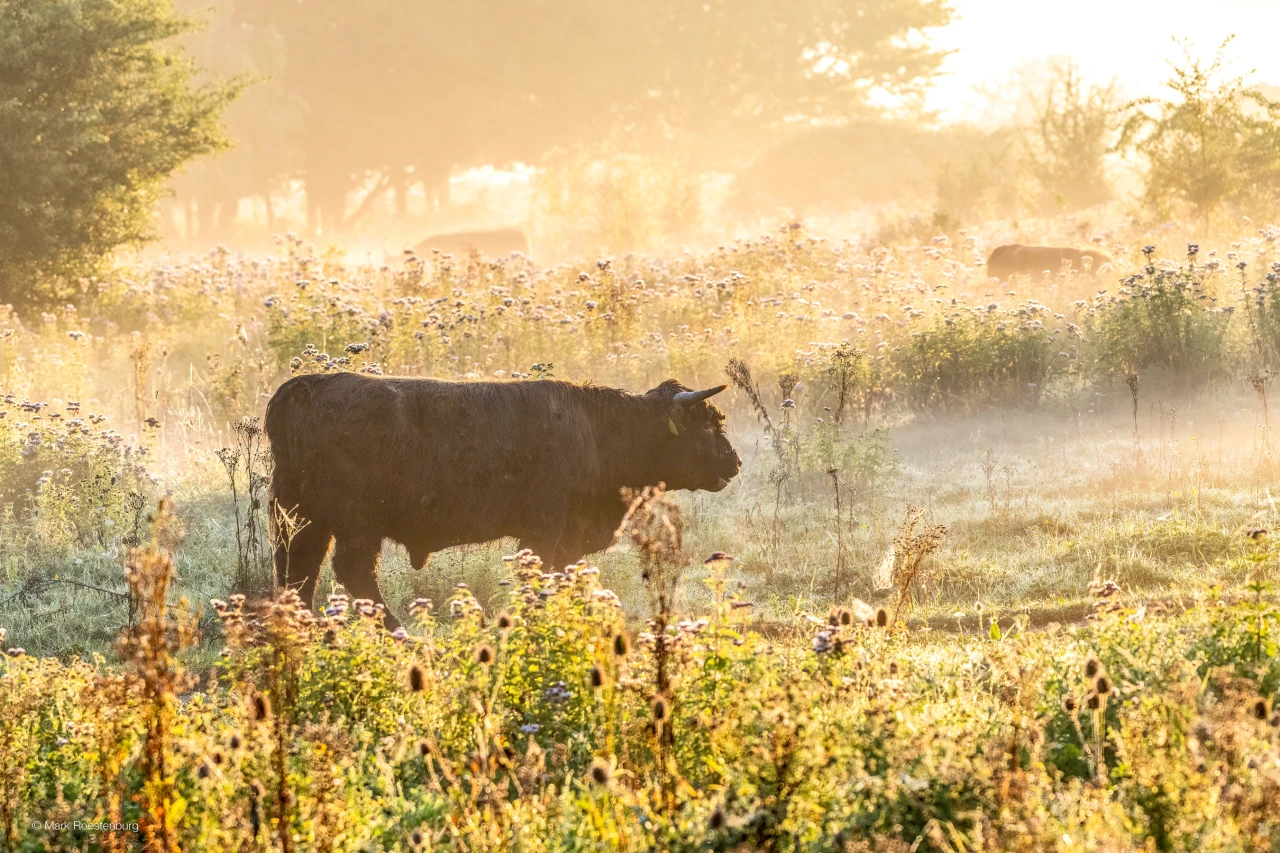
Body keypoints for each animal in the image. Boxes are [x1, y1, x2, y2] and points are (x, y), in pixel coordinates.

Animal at [262, 371, 742, 617]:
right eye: (706, 424)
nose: (733, 463)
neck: (597, 430)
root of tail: (306, 387)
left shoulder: (567, 541)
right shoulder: (544, 530)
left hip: (304, 522)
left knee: (299, 573)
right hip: (354, 527)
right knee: (352, 572)